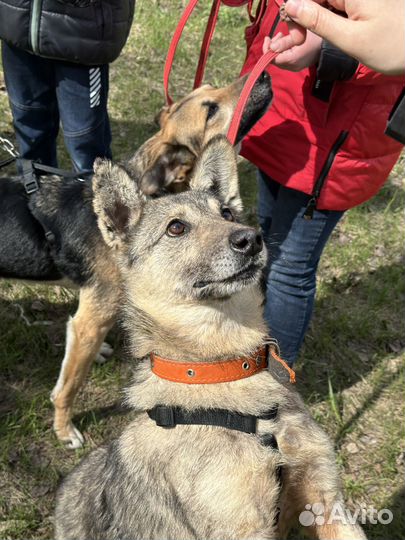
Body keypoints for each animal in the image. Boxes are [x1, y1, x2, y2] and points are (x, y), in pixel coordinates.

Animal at [54, 135, 366, 540]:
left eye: (228, 213)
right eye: (175, 228)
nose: (252, 239)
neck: (224, 368)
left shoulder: (326, 502)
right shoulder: (242, 528)